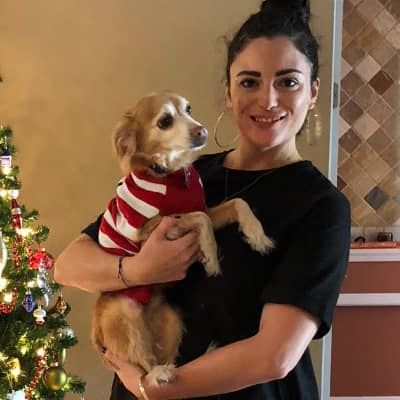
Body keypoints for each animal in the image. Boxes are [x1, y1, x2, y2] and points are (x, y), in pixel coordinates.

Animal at [91, 91, 274, 386]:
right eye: (164, 121)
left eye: (189, 109)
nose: (202, 131)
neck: (171, 173)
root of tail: (95, 330)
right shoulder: (149, 230)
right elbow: (200, 219)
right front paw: (210, 255)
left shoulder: (205, 207)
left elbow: (237, 203)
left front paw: (257, 234)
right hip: (123, 310)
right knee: (144, 369)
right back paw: (159, 373)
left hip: (172, 319)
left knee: (160, 357)